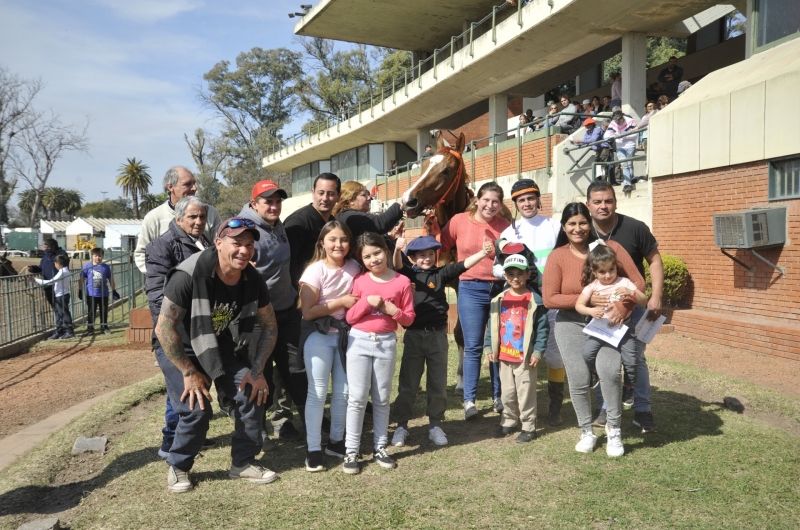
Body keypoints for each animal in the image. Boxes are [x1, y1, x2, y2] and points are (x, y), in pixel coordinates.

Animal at [400, 130, 512, 390]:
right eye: (424, 165)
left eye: (447, 170)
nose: (409, 200)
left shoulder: (463, 286)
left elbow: (463, 332)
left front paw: (463, 378)